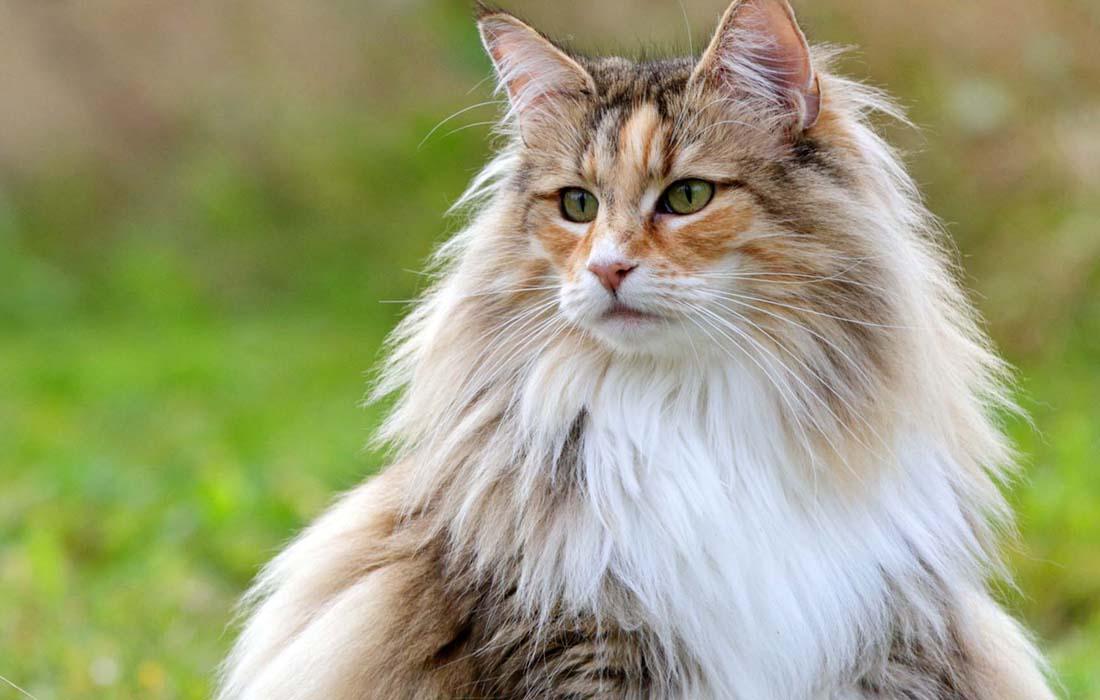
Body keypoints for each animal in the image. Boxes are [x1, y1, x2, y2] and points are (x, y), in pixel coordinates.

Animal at [216, 2, 1056, 695]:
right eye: (577, 205)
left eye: (687, 197)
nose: (608, 268)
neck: (693, 411)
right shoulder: (573, 639)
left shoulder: (888, 636)